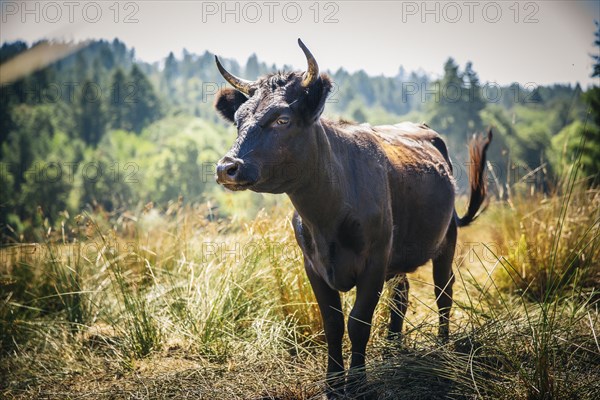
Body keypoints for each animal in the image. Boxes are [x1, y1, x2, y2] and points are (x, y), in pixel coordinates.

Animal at [213, 39, 490, 396]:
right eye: (238, 119)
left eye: (282, 119)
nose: (227, 168)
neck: (326, 215)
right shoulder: (313, 265)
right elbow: (332, 323)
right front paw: (333, 383)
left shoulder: (374, 261)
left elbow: (359, 321)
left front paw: (358, 382)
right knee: (401, 295)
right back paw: (391, 349)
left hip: (446, 239)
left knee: (444, 291)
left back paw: (442, 346)